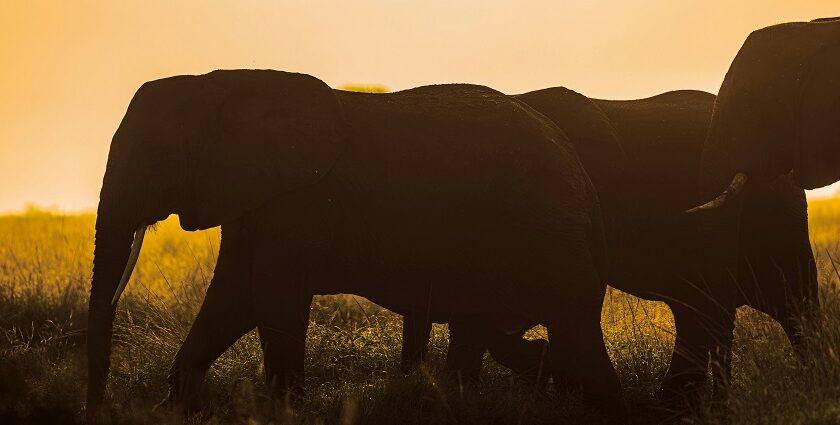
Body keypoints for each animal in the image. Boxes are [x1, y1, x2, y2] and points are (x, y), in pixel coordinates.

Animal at [85, 68, 628, 418]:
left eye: (158, 155)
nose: (98, 407)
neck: (218, 82)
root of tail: (581, 174)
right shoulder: (255, 195)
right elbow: (232, 298)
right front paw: (173, 408)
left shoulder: (296, 201)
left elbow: (271, 297)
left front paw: (284, 412)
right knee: (492, 325)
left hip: (547, 231)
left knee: (571, 321)